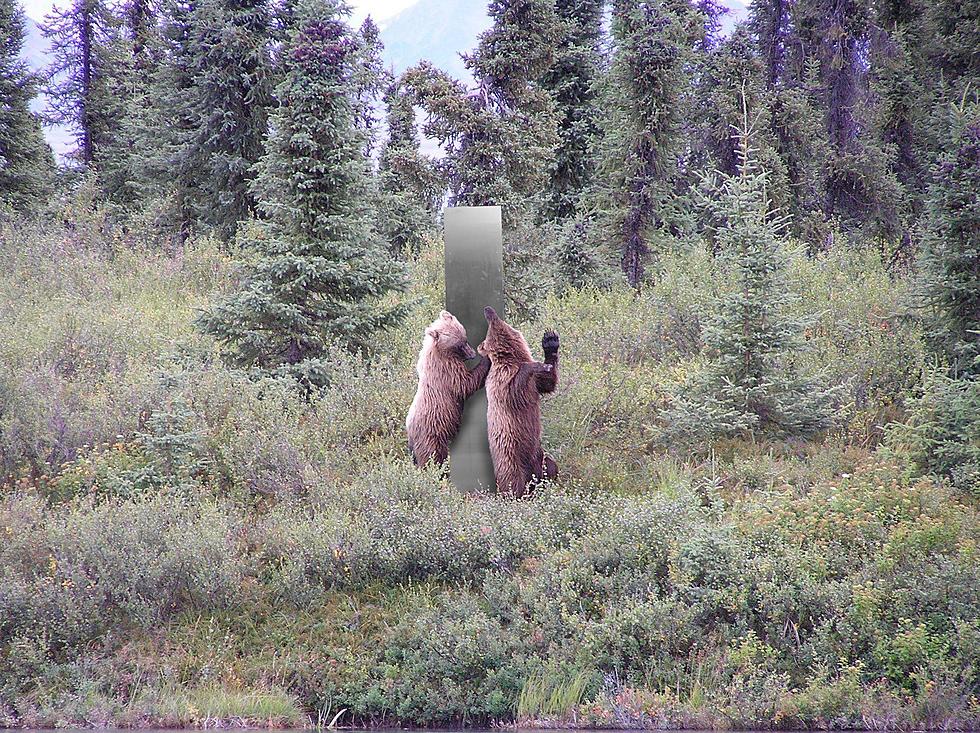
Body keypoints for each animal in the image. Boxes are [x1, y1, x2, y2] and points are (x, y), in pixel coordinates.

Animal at [404, 308, 488, 464]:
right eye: (460, 345)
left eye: (465, 339)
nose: (472, 354)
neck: (442, 352)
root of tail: (410, 436)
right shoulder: (446, 370)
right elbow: (465, 384)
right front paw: (486, 359)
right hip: (431, 436)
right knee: (432, 456)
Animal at [480, 306, 560, 494]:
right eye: (489, 331)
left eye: (500, 322)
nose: (488, 309)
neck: (513, 357)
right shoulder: (501, 380)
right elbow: (513, 390)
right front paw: (536, 365)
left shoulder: (535, 383)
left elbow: (547, 383)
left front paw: (550, 341)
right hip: (511, 456)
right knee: (513, 480)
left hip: (539, 454)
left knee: (550, 466)